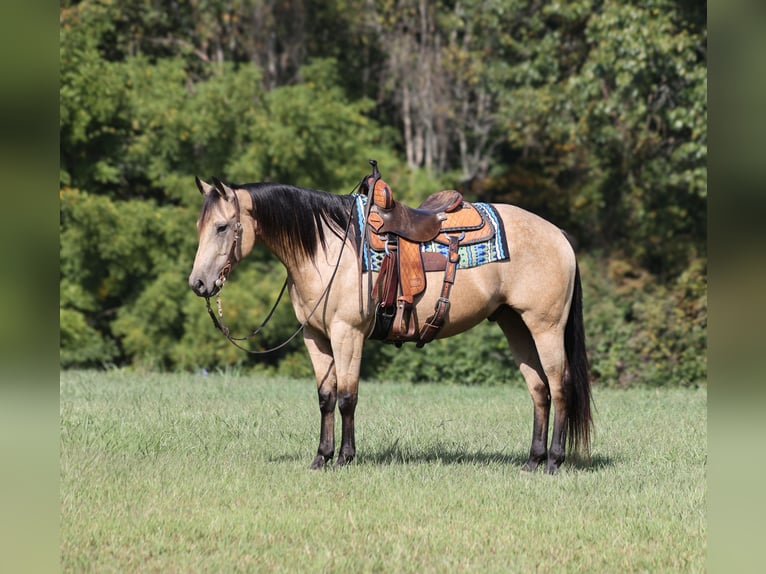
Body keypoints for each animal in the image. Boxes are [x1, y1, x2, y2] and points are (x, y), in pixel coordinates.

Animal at [188, 173, 593, 474]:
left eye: (222, 227)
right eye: (199, 226)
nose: (198, 284)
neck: (328, 250)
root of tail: (559, 236)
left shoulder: (347, 333)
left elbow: (347, 397)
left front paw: (346, 458)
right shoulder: (316, 338)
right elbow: (325, 398)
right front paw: (321, 457)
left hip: (545, 326)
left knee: (559, 386)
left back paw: (554, 461)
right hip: (515, 325)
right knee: (539, 390)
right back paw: (533, 461)